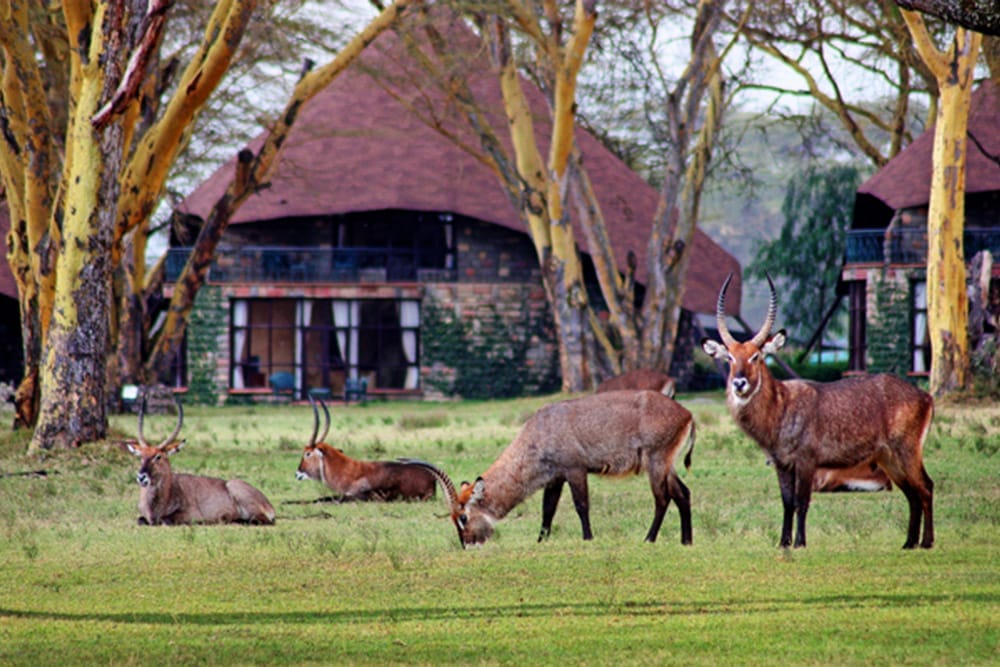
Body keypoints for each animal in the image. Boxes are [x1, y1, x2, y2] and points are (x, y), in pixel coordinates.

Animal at [125, 392, 276, 528]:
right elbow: (140, 520)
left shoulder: (191, 514)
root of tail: (268, 504)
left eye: (158, 456)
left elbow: (165, 520)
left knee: (261, 521)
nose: (141, 477)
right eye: (140, 456)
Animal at [402, 392, 692, 548]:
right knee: (682, 493)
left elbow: (581, 505)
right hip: (667, 465)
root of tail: (685, 413)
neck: (541, 429)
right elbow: (547, 510)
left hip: (656, 462)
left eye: (463, 517)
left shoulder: (575, 470)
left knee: (662, 498)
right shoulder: (555, 478)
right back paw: (686, 541)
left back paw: (649, 539)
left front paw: (588, 538)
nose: (467, 544)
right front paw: (540, 541)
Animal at [700, 274, 932, 552]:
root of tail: (924, 396)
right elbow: (787, 503)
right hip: (889, 458)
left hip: (906, 451)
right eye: (730, 358)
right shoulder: (782, 464)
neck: (781, 406)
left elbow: (802, 502)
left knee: (925, 487)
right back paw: (909, 543)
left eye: (756, 356)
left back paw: (926, 542)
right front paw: (783, 542)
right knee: (912, 493)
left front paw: (800, 543)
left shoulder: (807, 461)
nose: (739, 383)